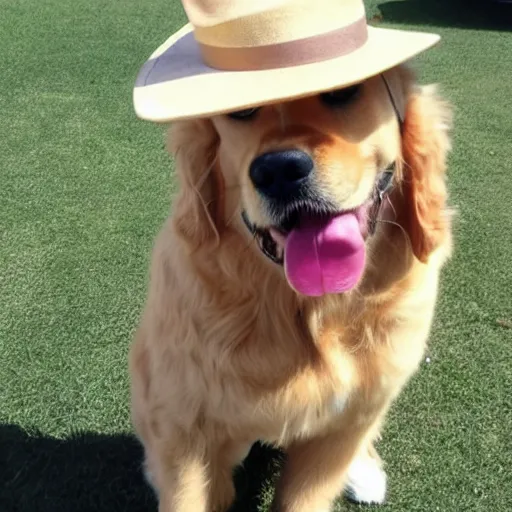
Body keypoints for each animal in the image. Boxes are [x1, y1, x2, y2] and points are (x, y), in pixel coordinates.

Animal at [128, 65, 452, 512]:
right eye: (241, 111)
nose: (279, 170)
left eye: (343, 92)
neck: (306, 310)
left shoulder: (340, 429)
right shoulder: (184, 424)